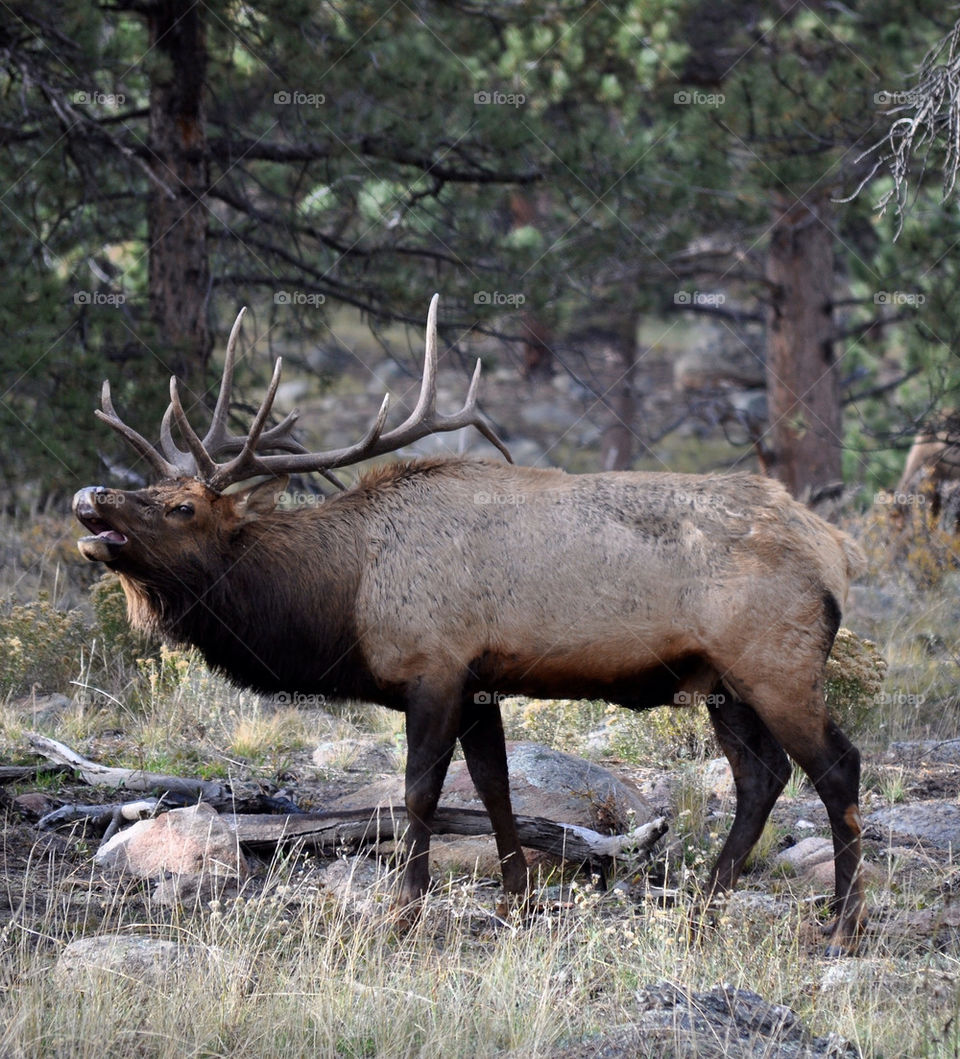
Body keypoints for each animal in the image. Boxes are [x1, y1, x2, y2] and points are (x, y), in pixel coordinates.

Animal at [73, 296, 868, 955]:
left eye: (182, 507)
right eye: (151, 487)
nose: (92, 494)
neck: (344, 597)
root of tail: (837, 550)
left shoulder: (434, 667)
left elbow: (419, 795)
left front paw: (402, 914)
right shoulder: (482, 682)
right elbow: (494, 788)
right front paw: (517, 902)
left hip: (776, 661)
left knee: (836, 767)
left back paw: (842, 922)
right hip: (721, 680)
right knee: (762, 777)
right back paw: (704, 910)